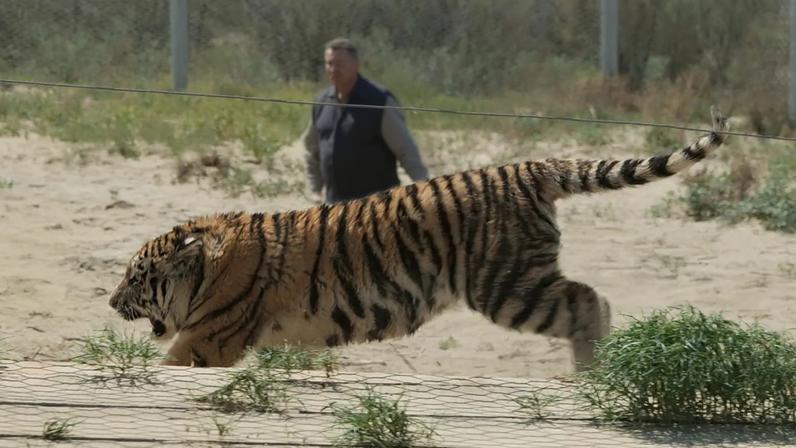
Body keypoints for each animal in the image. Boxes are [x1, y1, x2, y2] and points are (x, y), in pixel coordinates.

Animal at [108, 109, 729, 371]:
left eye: (137, 278)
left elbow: (168, 364)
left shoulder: (209, 339)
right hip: (515, 280)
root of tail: (528, 167)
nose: (111, 303)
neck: (206, 263)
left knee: (588, 302)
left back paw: (591, 372)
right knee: (586, 298)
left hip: (505, 285)